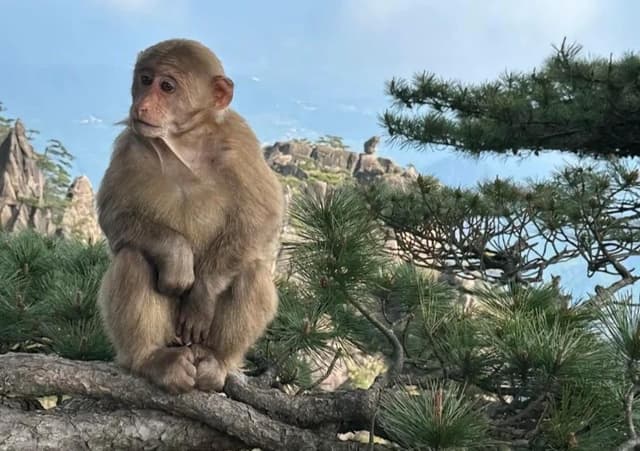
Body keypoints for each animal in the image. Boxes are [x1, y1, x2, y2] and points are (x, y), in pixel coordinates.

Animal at [96, 39, 284, 394]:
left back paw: (216, 361)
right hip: (170, 335)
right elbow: (114, 216)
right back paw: (151, 360)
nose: (142, 106)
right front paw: (177, 255)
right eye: (145, 79)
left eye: (167, 86)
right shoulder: (129, 145)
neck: (182, 143)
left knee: (251, 271)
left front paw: (202, 296)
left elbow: (263, 215)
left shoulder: (240, 141)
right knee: (132, 258)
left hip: (195, 339)